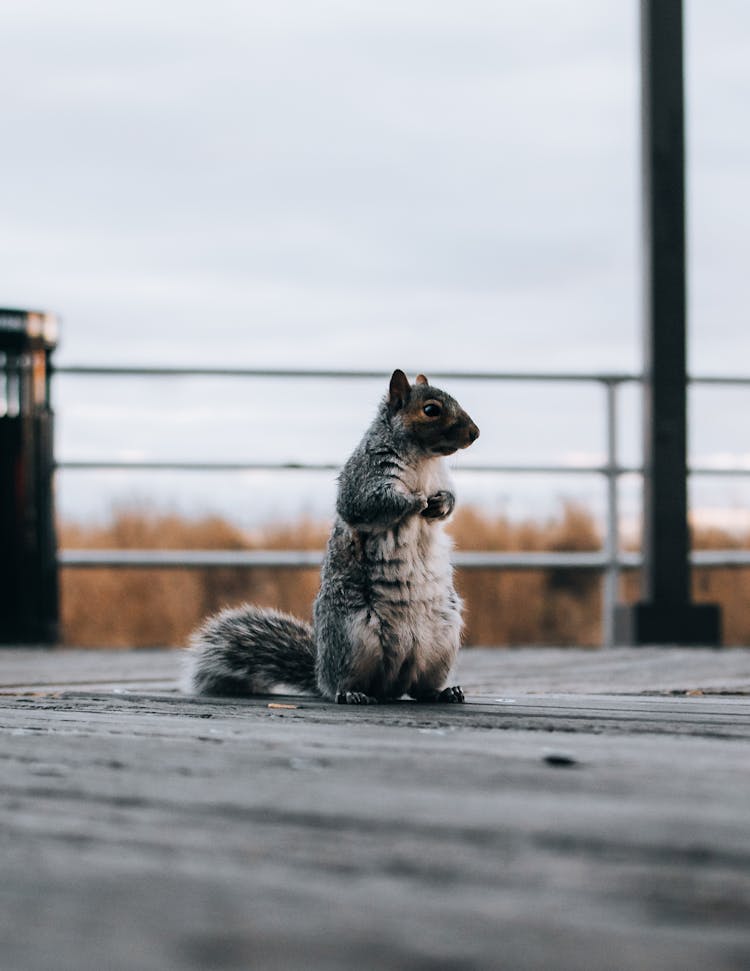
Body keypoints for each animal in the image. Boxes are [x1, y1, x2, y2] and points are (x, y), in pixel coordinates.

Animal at [185, 372, 484, 708]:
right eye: (431, 410)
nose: (475, 433)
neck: (424, 458)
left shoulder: (442, 480)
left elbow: (450, 502)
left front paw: (440, 503)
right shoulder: (364, 479)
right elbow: (369, 504)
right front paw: (415, 500)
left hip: (441, 643)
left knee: (420, 688)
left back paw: (444, 691)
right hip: (351, 639)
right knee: (345, 683)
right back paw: (352, 693)